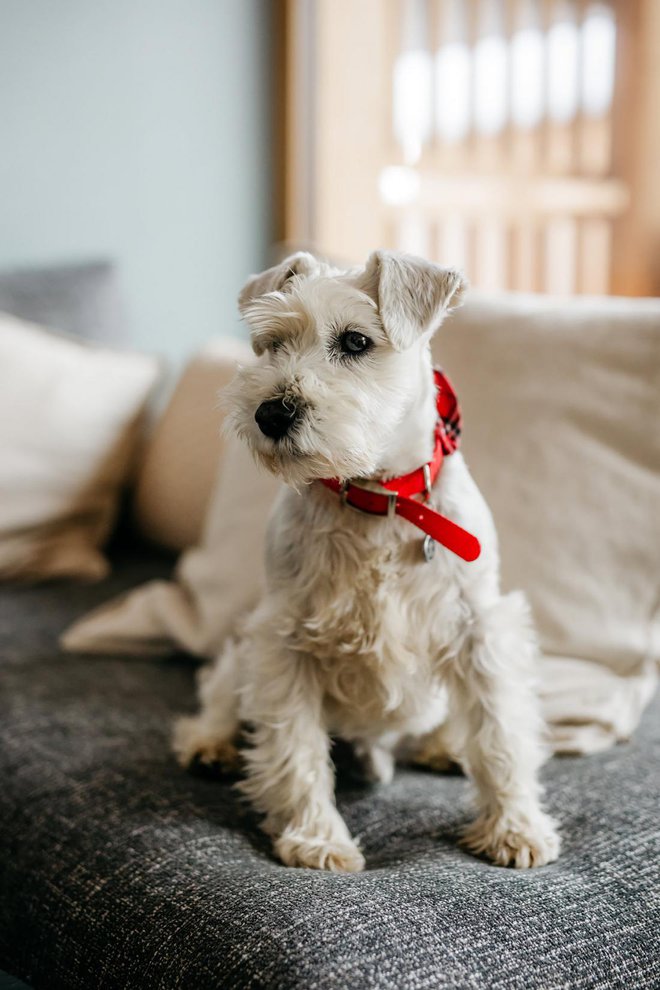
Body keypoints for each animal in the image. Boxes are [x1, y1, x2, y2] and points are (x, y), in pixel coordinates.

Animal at [174, 252, 556, 872]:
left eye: (355, 341)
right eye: (271, 343)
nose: (270, 414)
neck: (378, 498)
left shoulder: (479, 629)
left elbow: (500, 734)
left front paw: (515, 829)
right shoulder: (284, 642)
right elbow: (296, 747)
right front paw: (317, 839)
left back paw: (445, 747)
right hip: (244, 653)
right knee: (219, 695)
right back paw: (210, 743)